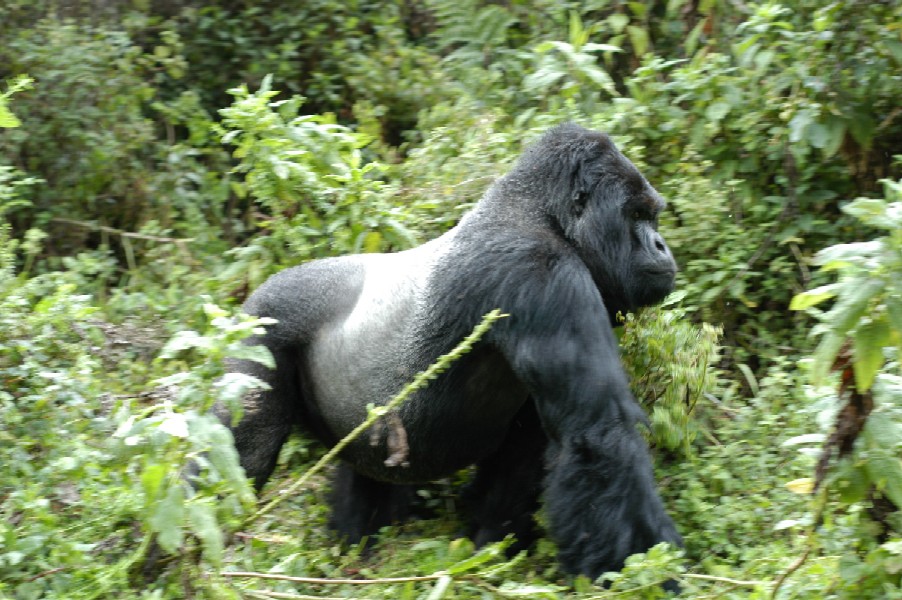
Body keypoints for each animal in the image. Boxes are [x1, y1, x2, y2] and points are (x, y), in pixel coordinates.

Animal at [217, 123, 684, 580]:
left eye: (652, 215)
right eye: (635, 215)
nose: (661, 245)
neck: (541, 214)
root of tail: (252, 294)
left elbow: (527, 451)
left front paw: (492, 550)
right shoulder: (542, 271)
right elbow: (599, 433)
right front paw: (646, 574)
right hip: (262, 325)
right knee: (243, 456)